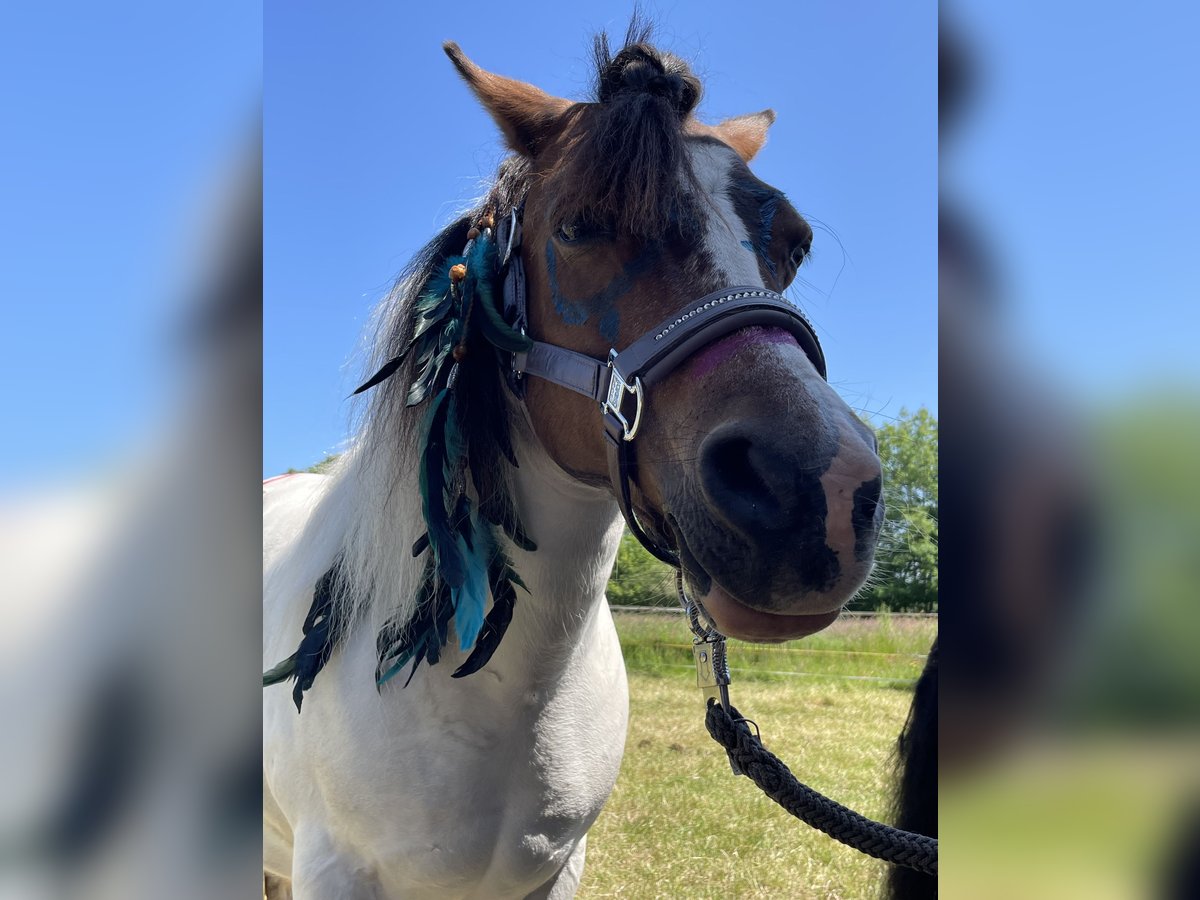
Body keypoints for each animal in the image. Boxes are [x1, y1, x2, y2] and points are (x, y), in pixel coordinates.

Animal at [262, 26, 883, 897]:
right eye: (579, 227)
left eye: (794, 248)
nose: (821, 492)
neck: (497, 687)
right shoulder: (334, 869)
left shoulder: (557, 869)